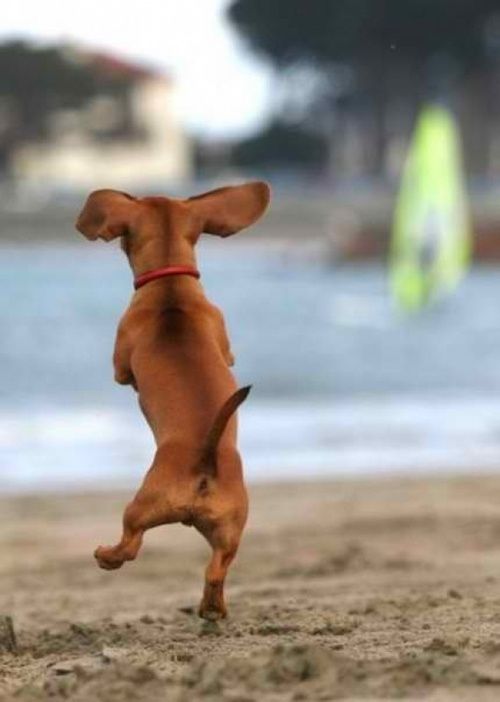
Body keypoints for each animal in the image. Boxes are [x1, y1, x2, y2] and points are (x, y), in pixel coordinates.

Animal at [75, 183, 270, 620]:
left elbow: (122, 374)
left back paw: (105, 555)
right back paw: (212, 609)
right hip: (231, 531)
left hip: (141, 506)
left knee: (130, 545)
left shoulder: (121, 363)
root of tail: (205, 464)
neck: (170, 286)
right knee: (216, 570)